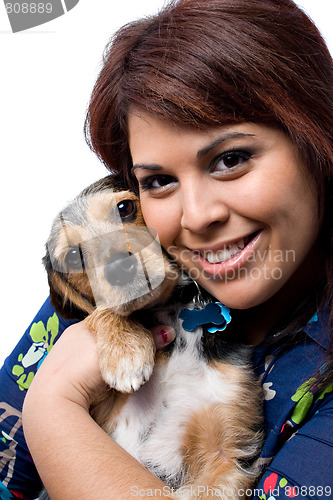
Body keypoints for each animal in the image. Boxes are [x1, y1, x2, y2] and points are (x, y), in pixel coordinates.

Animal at [40, 176, 262, 500]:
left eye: (125, 208)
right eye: (71, 256)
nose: (119, 268)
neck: (170, 312)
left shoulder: (225, 454)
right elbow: (102, 311)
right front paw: (125, 350)